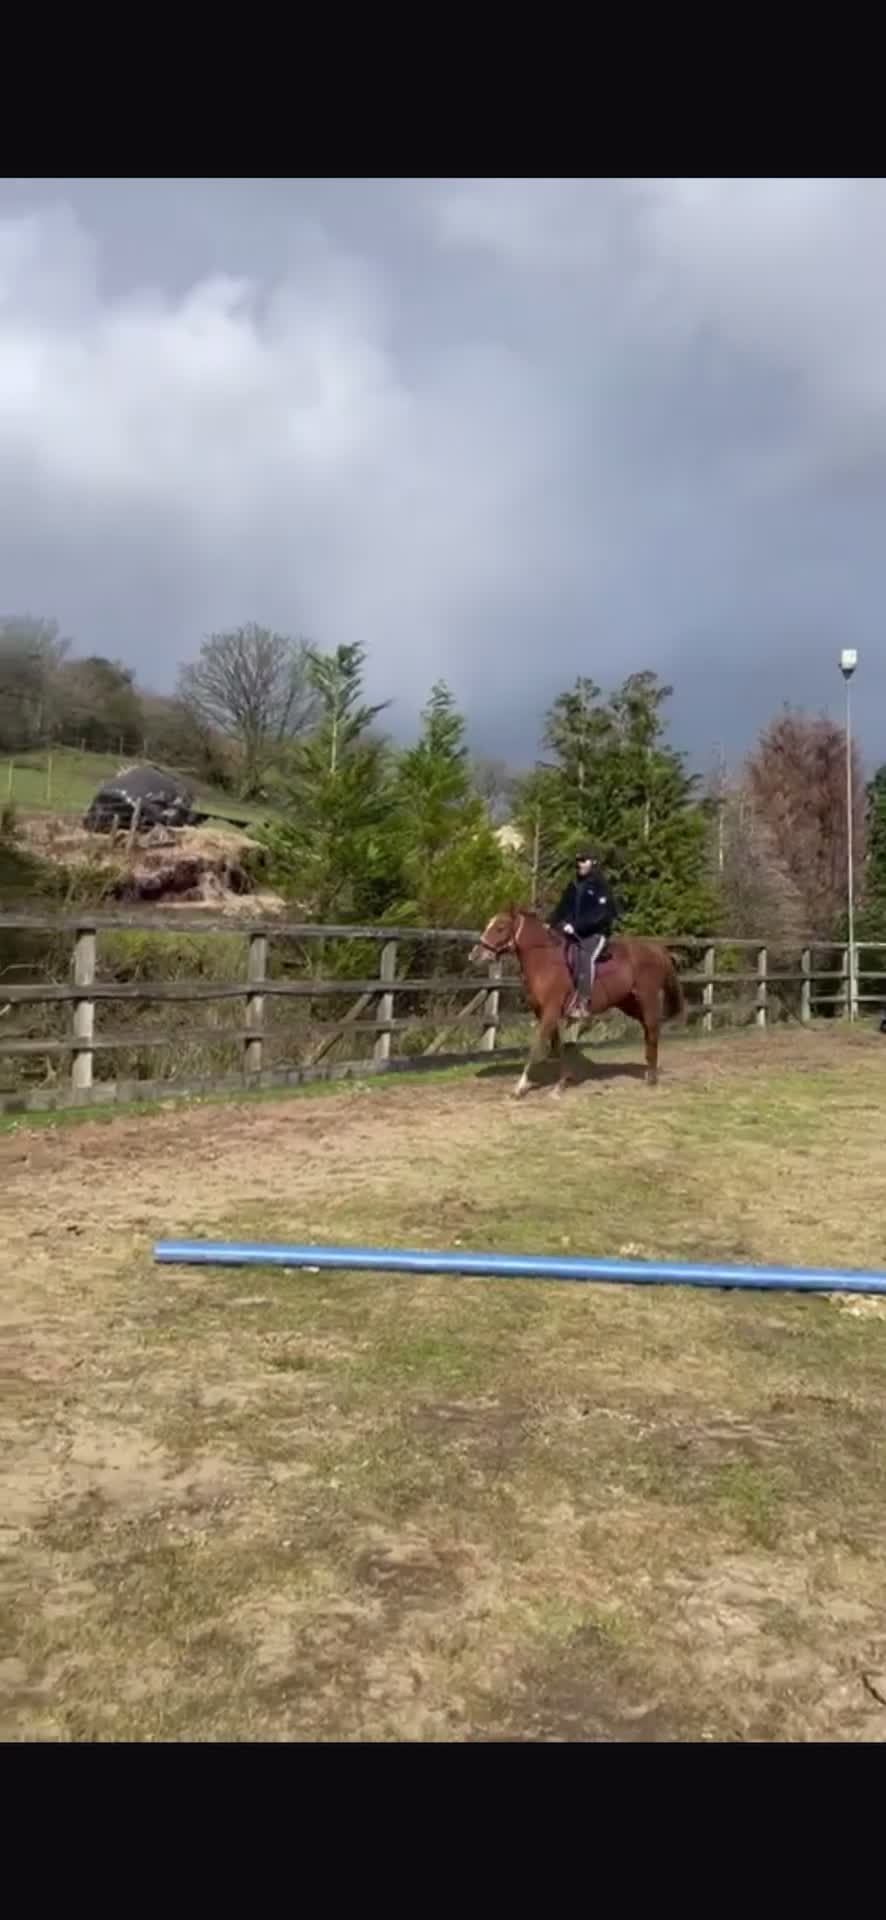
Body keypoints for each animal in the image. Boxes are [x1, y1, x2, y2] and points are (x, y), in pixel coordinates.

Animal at [469, 907, 686, 1100]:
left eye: (500, 927)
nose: (475, 955)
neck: (545, 961)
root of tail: (658, 949)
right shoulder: (545, 1013)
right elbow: (558, 1047)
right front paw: (561, 1084)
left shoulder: (550, 1012)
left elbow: (536, 1047)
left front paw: (519, 1088)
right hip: (628, 1003)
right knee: (648, 1030)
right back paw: (649, 1071)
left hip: (647, 998)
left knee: (652, 1029)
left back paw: (652, 1079)